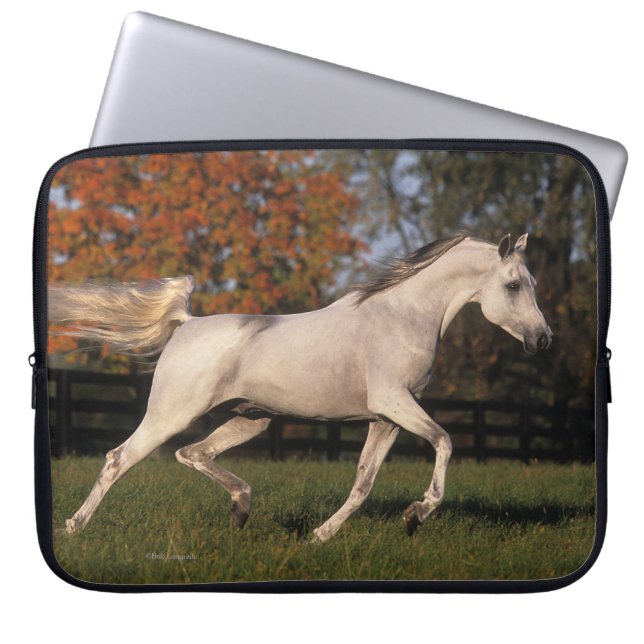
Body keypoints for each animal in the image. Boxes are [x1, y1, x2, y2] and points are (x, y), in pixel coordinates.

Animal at [50, 232, 552, 541]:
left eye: (532, 282)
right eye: (513, 285)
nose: (543, 339)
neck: (401, 317)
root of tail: (186, 324)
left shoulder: (386, 419)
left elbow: (363, 483)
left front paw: (320, 536)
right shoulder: (395, 402)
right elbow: (445, 441)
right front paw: (417, 513)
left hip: (251, 420)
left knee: (192, 453)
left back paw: (241, 507)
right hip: (170, 414)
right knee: (119, 459)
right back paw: (74, 527)